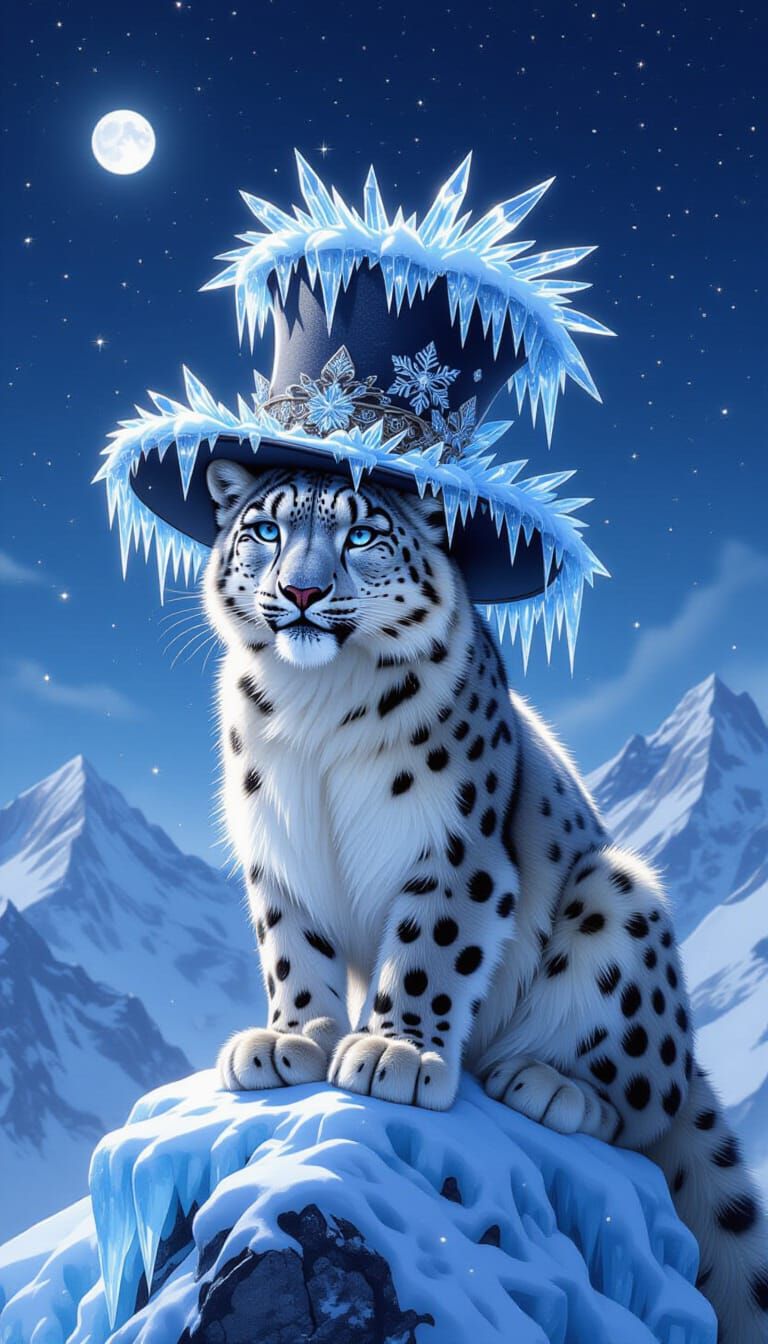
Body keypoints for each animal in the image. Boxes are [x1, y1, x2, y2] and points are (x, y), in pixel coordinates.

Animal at [204, 459, 767, 1342]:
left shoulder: (457, 849)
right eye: (266, 529)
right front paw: (292, 1041)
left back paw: (549, 1084)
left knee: (647, 1104)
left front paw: (395, 1055)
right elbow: (294, 952)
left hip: (622, 900)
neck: (313, 706)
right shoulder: (278, 855)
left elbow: (431, 951)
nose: (300, 590)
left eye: (360, 533)